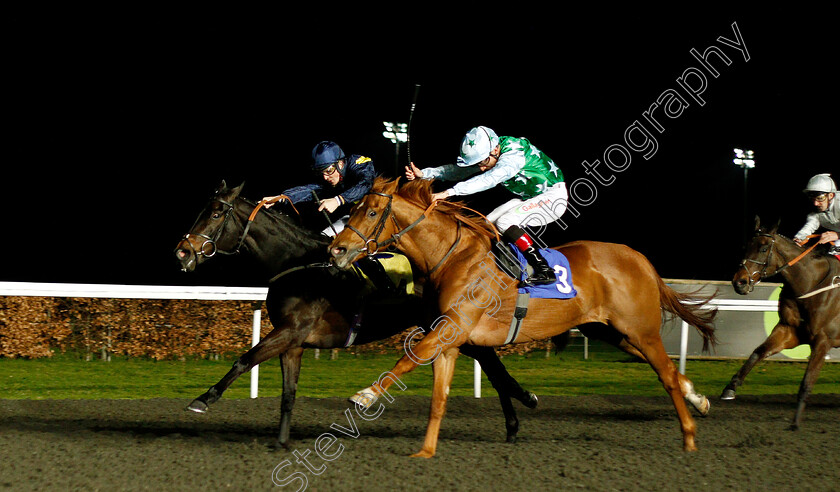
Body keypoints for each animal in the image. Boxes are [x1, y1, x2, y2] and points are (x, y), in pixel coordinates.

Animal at [174, 180, 540, 446]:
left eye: (216, 214)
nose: (183, 251)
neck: (297, 265)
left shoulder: (290, 331)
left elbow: (244, 359)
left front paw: (204, 399)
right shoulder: (293, 344)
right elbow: (288, 394)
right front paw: (281, 442)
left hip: (447, 327)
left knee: (491, 364)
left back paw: (522, 406)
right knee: (490, 364)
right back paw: (516, 415)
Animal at [326, 178, 716, 458]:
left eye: (372, 213)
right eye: (354, 209)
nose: (336, 250)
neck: (453, 257)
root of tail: (640, 259)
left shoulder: (453, 327)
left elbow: (410, 358)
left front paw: (365, 396)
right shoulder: (451, 338)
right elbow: (441, 396)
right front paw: (425, 452)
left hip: (641, 329)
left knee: (666, 375)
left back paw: (689, 438)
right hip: (611, 332)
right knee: (669, 371)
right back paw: (699, 400)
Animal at [720, 217, 840, 428]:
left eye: (763, 248)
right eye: (746, 246)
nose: (739, 282)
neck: (811, 283)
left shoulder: (823, 340)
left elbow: (807, 381)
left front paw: (796, 421)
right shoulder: (789, 330)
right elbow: (758, 352)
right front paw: (731, 387)